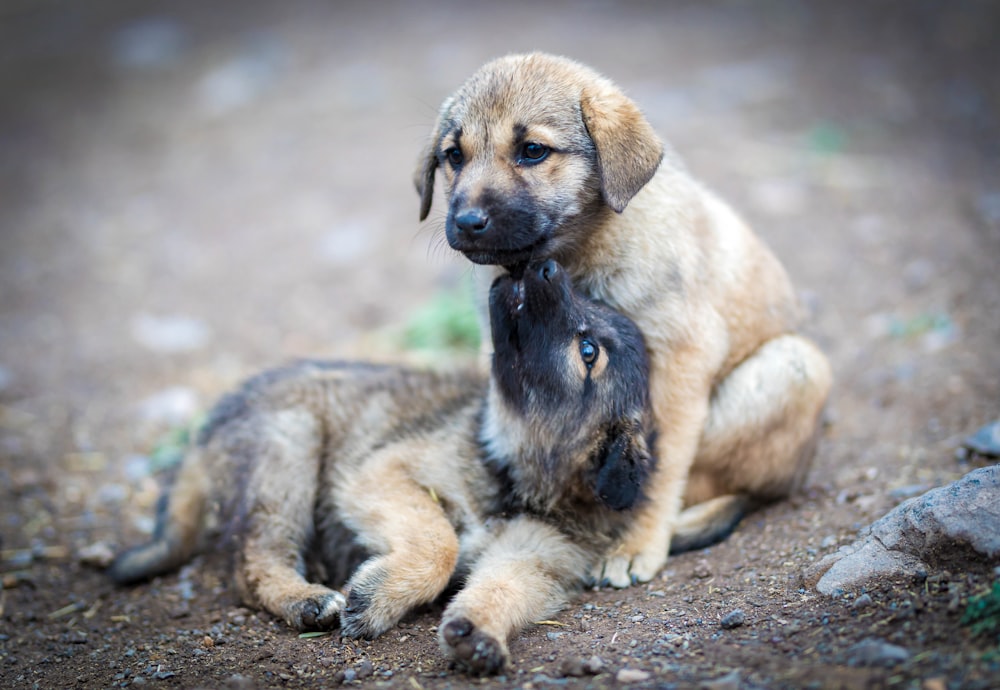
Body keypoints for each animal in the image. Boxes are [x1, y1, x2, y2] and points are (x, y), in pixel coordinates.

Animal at [111, 260, 656, 672]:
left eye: (589, 351)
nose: (546, 264)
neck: (513, 477)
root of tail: (206, 430)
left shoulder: (536, 559)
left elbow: (502, 589)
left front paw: (478, 632)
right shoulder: (383, 470)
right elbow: (440, 543)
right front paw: (375, 599)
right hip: (288, 446)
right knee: (254, 562)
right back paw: (306, 600)